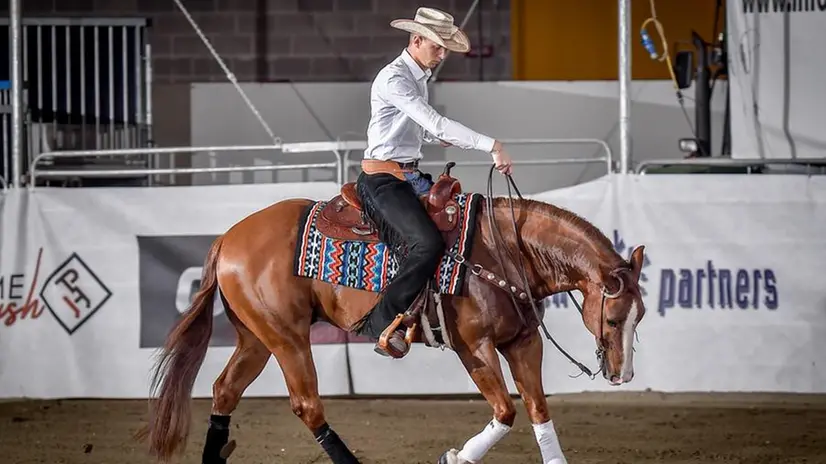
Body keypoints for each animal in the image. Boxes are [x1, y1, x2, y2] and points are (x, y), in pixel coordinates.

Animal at [135, 165, 648, 462]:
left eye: (639, 317)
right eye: (614, 318)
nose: (622, 375)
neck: (503, 250)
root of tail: (228, 238)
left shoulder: (523, 341)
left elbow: (539, 411)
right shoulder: (474, 347)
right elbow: (505, 412)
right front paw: (455, 457)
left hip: (256, 337)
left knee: (225, 391)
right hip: (287, 338)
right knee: (307, 405)